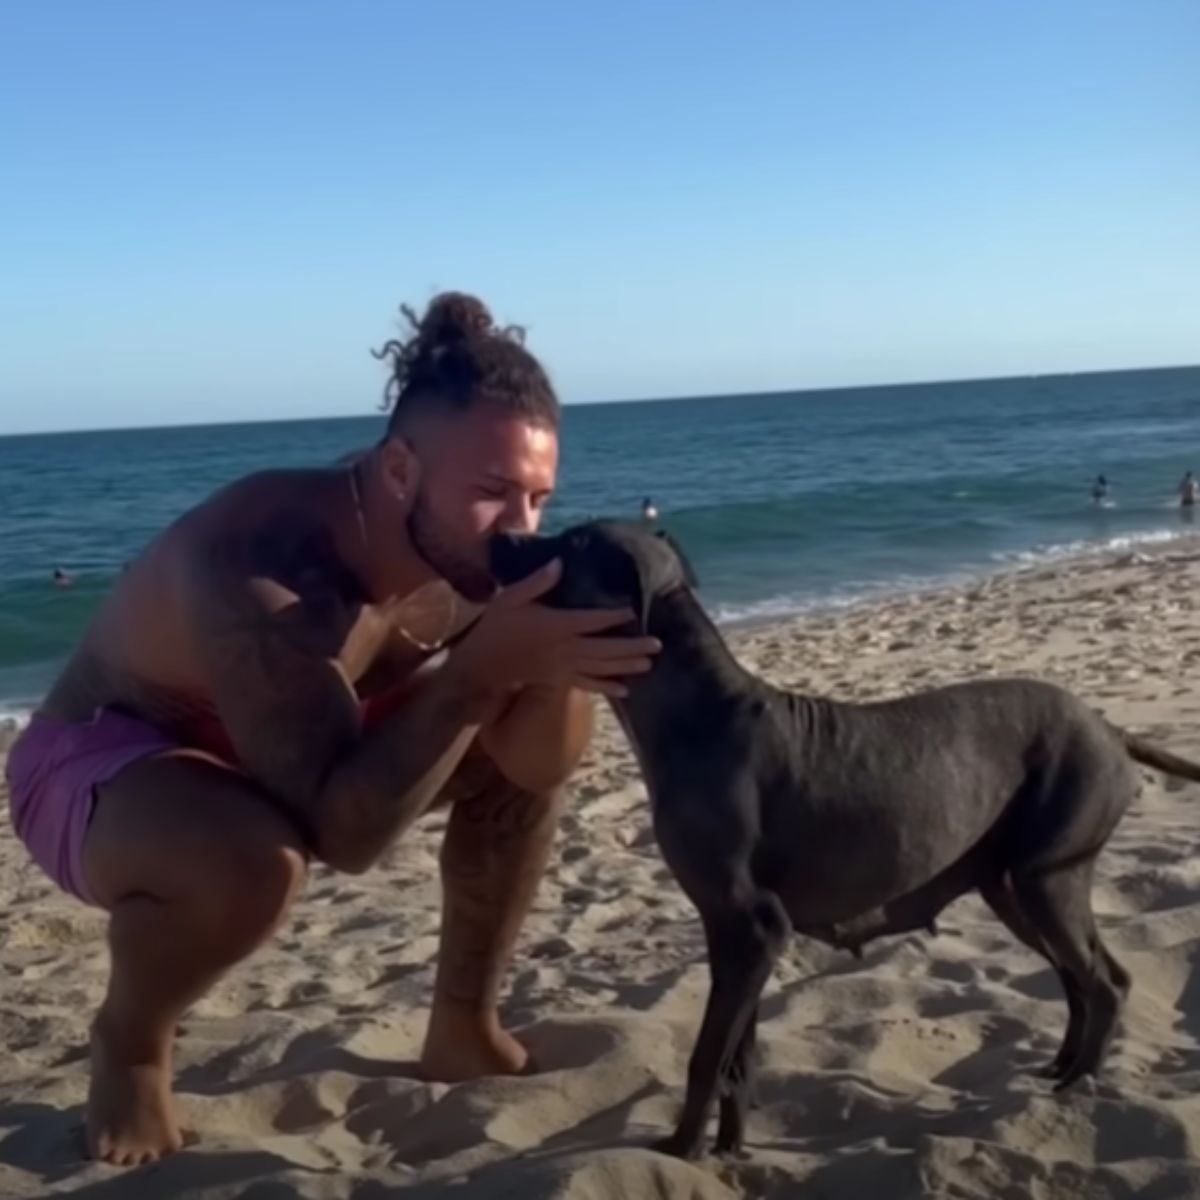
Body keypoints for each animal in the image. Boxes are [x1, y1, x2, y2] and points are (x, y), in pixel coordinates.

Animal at [489, 520, 1200, 1156]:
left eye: (573, 541)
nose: (500, 535)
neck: (691, 708)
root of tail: (1109, 728)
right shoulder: (737, 938)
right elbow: (737, 1059)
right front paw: (727, 1149)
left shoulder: (751, 926)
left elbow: (707, 1056)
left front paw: (680, 1151)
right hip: (1013, 886)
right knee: (1078, 977)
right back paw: (1060, 1069)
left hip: (1046, 877)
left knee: (1105, 982)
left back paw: (1076, 1090)